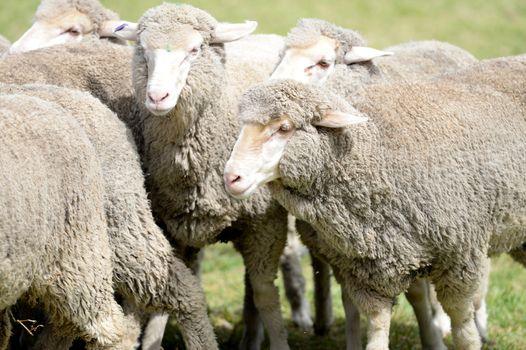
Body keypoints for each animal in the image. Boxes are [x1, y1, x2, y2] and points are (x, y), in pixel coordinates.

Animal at [119, 4, 294, 348]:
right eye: (143, 50)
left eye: (195, 49)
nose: (157, 97)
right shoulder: (171, 228)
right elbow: (167, 300)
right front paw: (152, 341)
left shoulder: (266, 223)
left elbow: (267, 297)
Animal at [225, 58, 526, 348]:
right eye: (241, 125)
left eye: (284, 127)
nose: (231, 177)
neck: (374, 149)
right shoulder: (370, 271)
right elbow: (378, 330)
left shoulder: (460, 258)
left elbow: (463, 330)